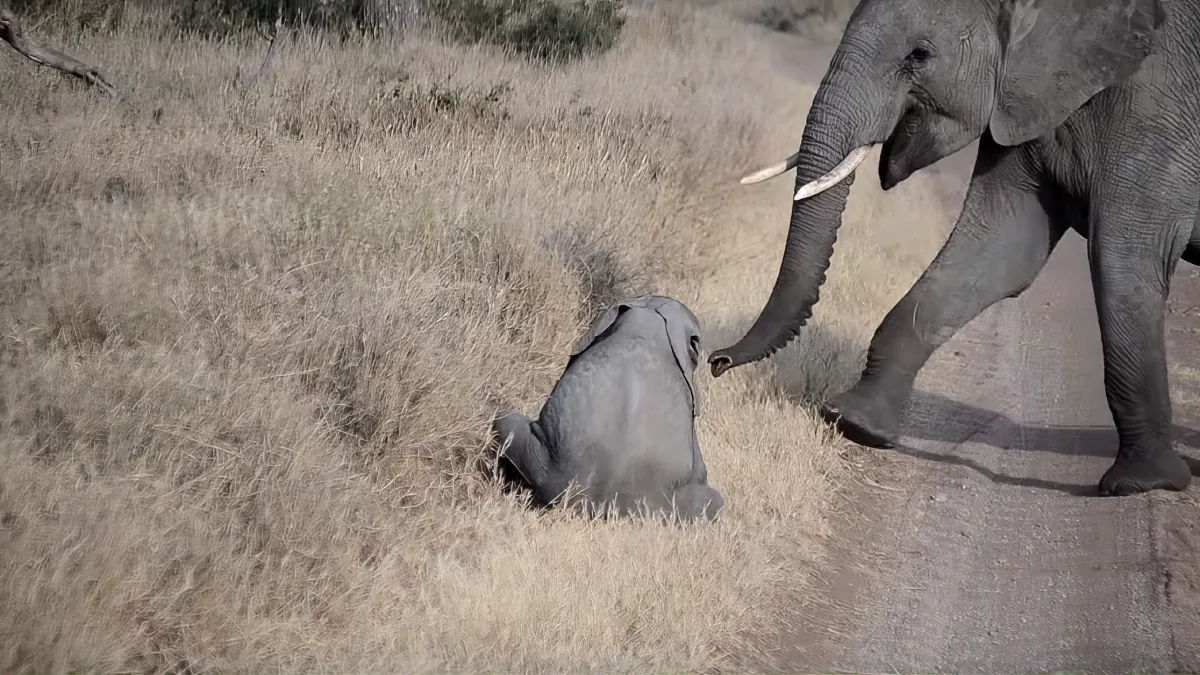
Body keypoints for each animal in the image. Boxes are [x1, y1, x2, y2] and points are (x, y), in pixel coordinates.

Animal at [707, 0, 1200, 496]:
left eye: (920, 55)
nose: (716, 361)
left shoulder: (1157, 116)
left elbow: (1122, 261)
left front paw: (1142, 483)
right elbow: (999, 249)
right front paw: (854, 421)